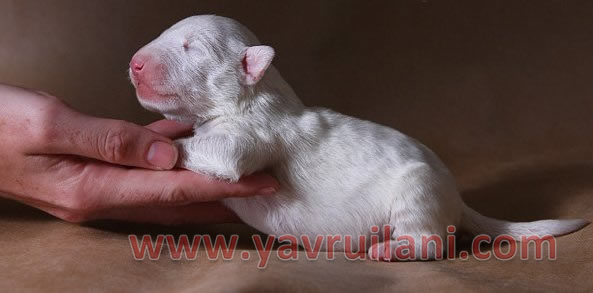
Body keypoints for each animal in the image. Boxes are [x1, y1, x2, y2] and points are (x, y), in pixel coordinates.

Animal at [127, 15, 584, 260]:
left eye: (192, 48)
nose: (134, 63)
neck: (253, 94)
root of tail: (456, 199)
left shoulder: (257, 134)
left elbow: (226, 154)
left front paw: (164, 147)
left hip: (417, 192)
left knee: (433, 242)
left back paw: (394, 249)